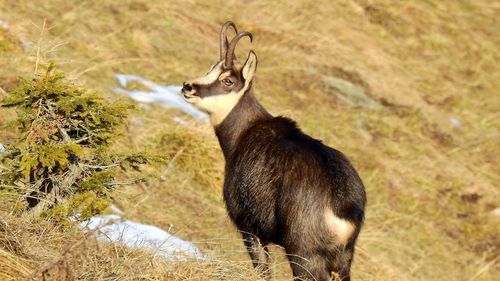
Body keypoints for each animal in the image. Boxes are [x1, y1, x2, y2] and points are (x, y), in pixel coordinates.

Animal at [182, 21, 366, 280]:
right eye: (211, 68)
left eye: (228, 80)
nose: (188, 87)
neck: (244, 132)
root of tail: (343, 206)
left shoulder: (249, 228)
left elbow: (262, 272)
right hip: (342, 259)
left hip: (304, 254)